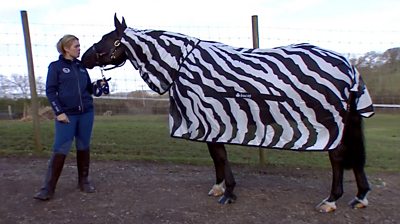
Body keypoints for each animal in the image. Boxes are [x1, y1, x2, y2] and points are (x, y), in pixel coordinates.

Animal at [81, 14, 376, 213]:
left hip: (330, 124)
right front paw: (220, 187)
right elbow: (216, 156)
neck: (182, 65)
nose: (84, 58)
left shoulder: (210, 118)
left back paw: (331, 200)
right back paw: (360, 197)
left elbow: (220, 155)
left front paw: (228, 192)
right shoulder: (210, 122)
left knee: (337, 157)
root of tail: (349, 66)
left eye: (109, 39)